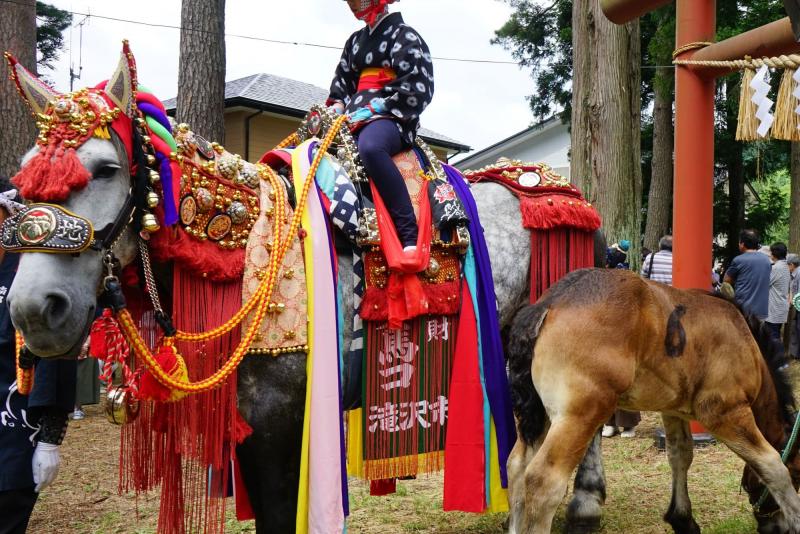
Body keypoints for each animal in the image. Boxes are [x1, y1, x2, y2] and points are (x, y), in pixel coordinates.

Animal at [0, 43, 600, 534]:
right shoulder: (249, 429)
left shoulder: (280, 423)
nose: (34, 310)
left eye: (105, 169)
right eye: (25, 180)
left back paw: (585, 508)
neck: (239, 244)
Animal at [506, 270, 800, 534]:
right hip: (580, 417)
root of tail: (551, 301)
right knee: (543, 481)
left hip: (540, 417)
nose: (773, 528)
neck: (745, 342)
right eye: (799, 476)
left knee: (517, 468)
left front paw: (683, 520)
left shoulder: (674, 411)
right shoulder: (727, 413)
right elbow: (773, 465)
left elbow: (680, 455)